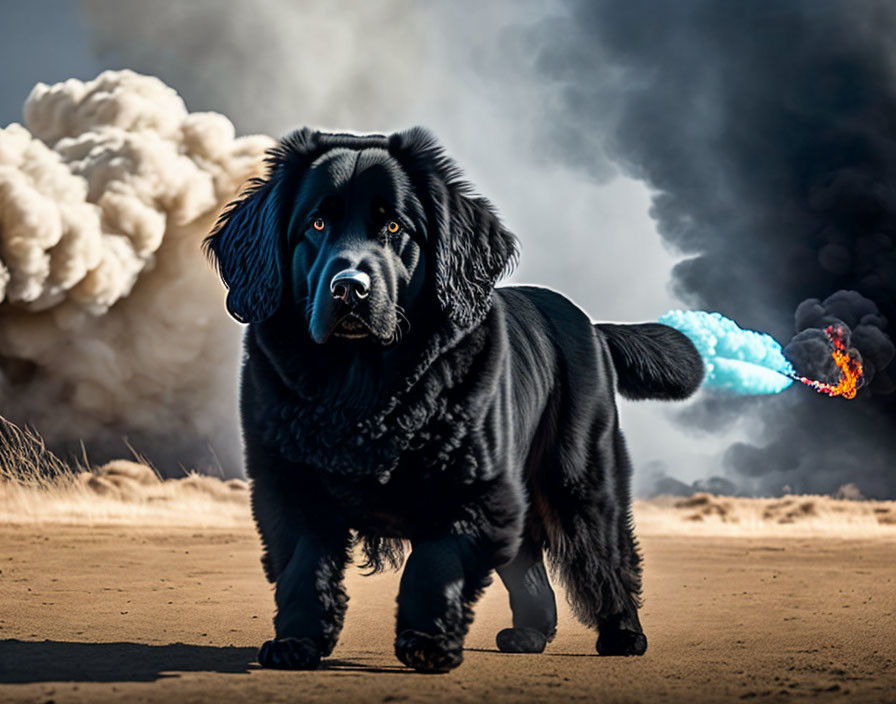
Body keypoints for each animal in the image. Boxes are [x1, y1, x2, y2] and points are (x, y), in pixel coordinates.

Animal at [206, 129, 704, 672]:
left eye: (395, 226)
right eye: (316, 223)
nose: (349, 289)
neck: (363, 386)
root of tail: (592, 326)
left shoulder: (474, 489)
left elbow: (434, 563)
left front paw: (426, 642)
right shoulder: (289, 484)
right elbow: (304, 564)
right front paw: (297, 643)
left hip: (579, 480)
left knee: (607, 557)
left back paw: (624, 634)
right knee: (529, 563)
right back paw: (530, 634)